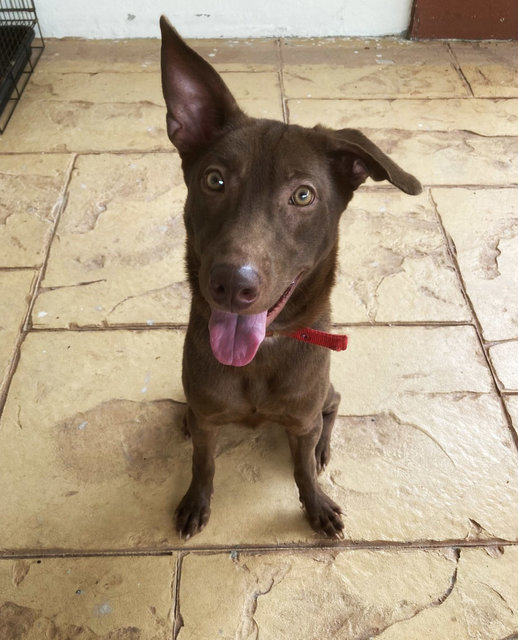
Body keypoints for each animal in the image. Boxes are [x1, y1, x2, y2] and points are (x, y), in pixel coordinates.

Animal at [160, 17, 424, 540]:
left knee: (332, 408)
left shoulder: (301, 417)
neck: (261, 353)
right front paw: (196, 499)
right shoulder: (208, 420)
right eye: (214, 180)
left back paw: (323, 447)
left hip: (325, 394)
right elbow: (203, 462)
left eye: (303, 195)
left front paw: (316, 504)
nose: (232, 284)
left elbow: (302, 468)